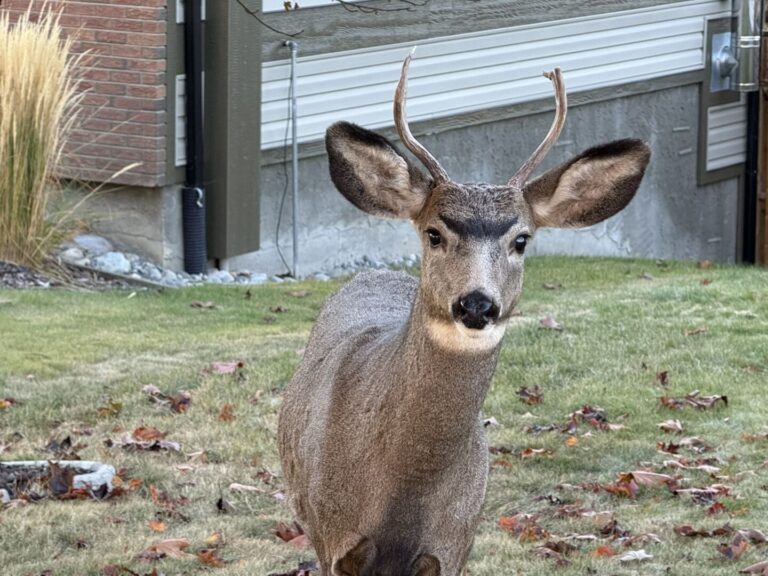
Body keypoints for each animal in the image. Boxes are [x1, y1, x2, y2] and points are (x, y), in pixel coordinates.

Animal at [276, 50, 648, 576]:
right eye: (434, 233)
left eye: (521, 239)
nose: (476, 303)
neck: (401, 492)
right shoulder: (333, 537)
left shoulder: (455, 541)